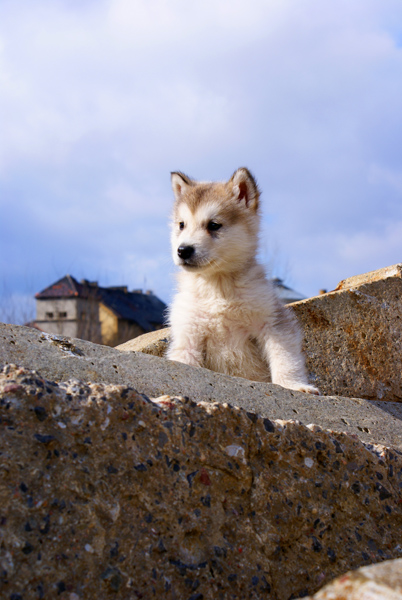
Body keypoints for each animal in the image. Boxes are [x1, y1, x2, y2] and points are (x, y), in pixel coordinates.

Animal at [166, 168, 320, 394]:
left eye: (214, 225)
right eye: (181, 225)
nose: (183, 250)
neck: (218, 289)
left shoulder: (274, 322)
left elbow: (286, 360)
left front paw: (294, 385)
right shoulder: (188, 335)